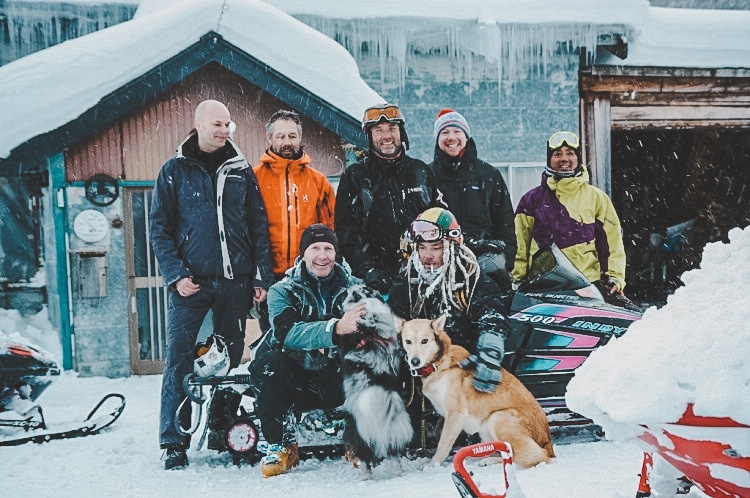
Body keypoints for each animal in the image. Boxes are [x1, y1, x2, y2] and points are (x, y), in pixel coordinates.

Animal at [396, 316, 556, 466]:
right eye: (408, 341)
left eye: (425, 341)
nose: (414, 361)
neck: (440, 363)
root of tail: (548, 445)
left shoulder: (455, 415)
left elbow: (442, 446)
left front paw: (432, 465)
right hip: (485, 428)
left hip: (497, 418)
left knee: (530, 456)